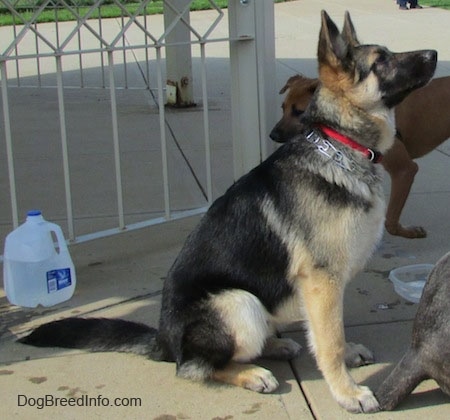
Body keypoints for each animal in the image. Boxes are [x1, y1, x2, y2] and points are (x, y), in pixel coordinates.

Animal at [270, 74, 450, 238]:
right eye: (283, 108)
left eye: (298, 112)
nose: (272, 135)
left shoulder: (405, 170)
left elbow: (390, 221)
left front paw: (407, 232)